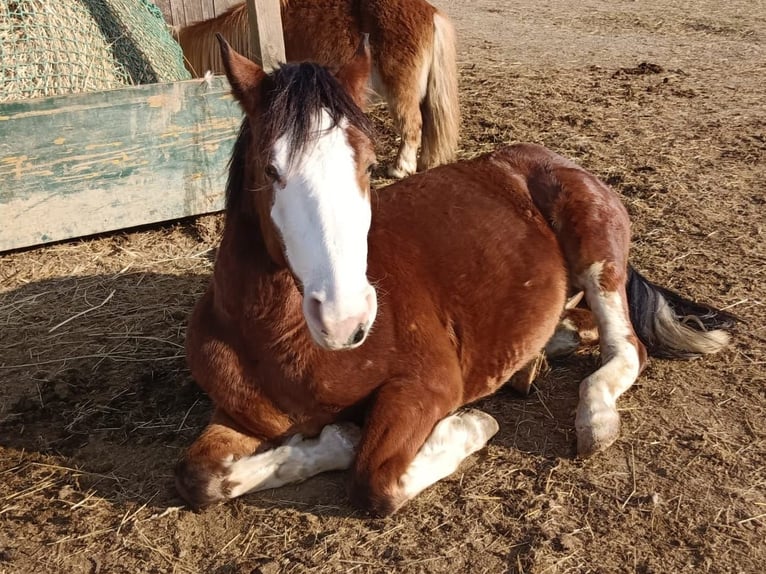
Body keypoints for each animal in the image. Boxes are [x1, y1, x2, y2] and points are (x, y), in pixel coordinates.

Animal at [175, 36, 736, 517]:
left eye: (369, 165)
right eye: (270, 171)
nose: (344, 318)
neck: (286, 345)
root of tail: (551, 160)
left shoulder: (428, 385)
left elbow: (376, 480)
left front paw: (467, 427)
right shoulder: (236, 416)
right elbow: (199, 477)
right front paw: (329, 441)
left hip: (597, 254)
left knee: (626, 347)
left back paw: (594, 417)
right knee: (583, 324)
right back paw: (537, 360)